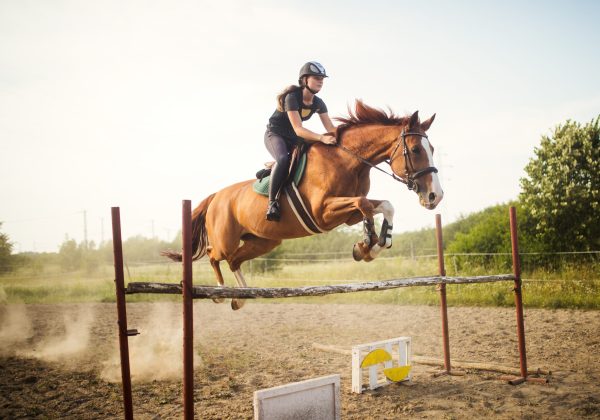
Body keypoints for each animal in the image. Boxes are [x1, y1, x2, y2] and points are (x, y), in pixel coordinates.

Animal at [162, 98, 442, 308]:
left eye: (433, 150)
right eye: (416, 150)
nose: (435, 196)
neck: (349, 162)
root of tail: (216, 196)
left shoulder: (346, 214)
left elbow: (383, 205)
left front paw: (374, 245)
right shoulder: (323, 213)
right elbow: (364, 204)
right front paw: (366, 245)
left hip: (264, 241)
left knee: (234, 261)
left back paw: (241, 297)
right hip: (225, 239)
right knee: (214, 255)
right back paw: (221, 293)